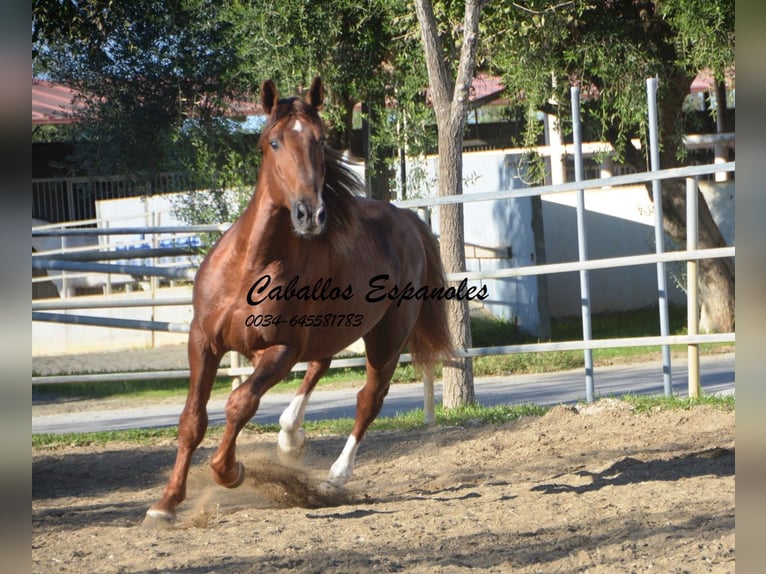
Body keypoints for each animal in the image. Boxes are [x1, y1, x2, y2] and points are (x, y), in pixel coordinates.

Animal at [147, 77, 452, 528]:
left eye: (319, 140)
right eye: (273, 142)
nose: (311, 215)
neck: (250, 265)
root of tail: (408, 221)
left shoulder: (281, 349)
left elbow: (241, 403)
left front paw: (230, 471)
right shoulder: (203, 341)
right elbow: (192, 419)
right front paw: (165, 504)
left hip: (385, 340)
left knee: (368, 399)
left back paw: (333, 477)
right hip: (330, 330)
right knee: (319, 366)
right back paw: (291, 435)